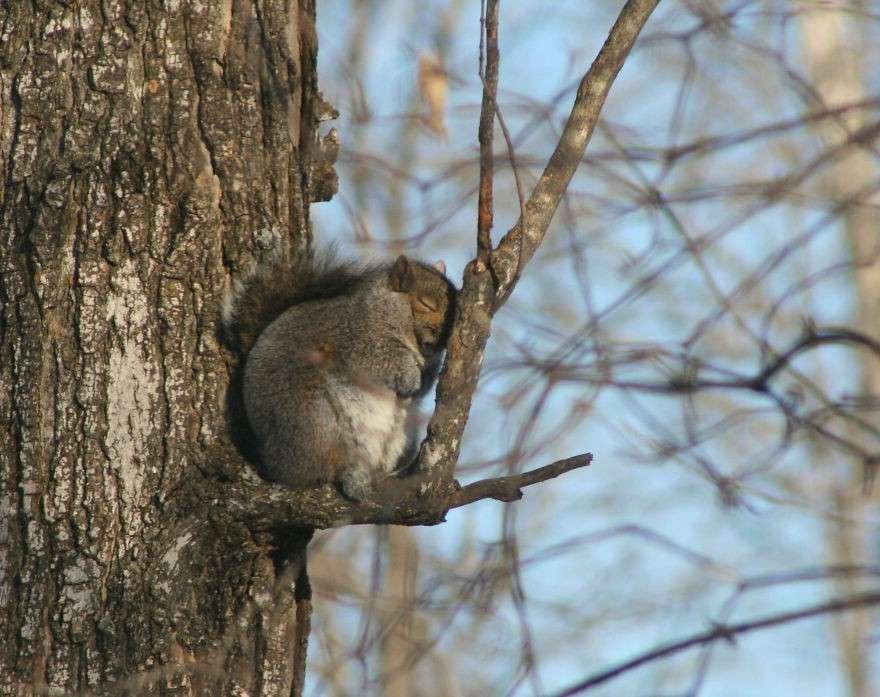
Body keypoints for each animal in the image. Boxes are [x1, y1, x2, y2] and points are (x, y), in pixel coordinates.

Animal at [220, 247, 458, 498]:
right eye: (426, 303)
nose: (446, 336)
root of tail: (275, 464)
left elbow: (422, 388)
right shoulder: (357, 339)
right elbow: (383, 362)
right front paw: (410, 376)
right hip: (314, 419)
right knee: (327, 466)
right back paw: (351, 477)